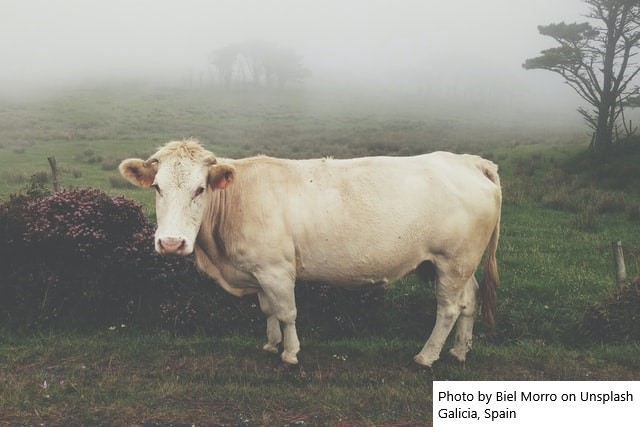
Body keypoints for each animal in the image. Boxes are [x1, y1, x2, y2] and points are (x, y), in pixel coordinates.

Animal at [119, 139, 501, 367]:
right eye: (157, 187)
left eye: (200, 189)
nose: (171, 243)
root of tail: (468, 161)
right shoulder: (260, 272)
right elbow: (268, 310)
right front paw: (271, 344)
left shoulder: (276, 270)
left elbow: (287, 312)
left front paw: (290, 353)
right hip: (458, 264)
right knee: (468, 301)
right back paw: (459, 350)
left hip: (453, 261)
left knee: (448, 308)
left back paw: (427, 355)